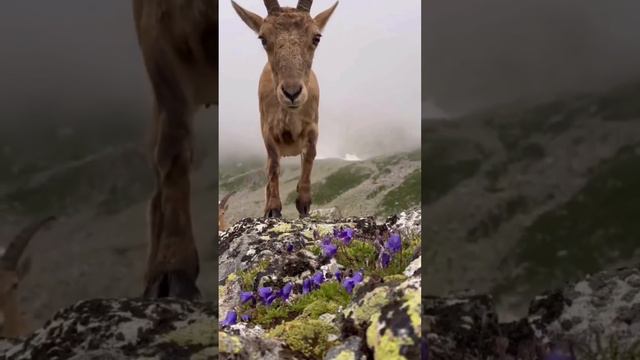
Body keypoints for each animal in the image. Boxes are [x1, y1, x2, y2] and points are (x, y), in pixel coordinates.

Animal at [232, 0, 338, 218]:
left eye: (316, 38)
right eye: (263, 39)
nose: (291, 92)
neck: (290, 118)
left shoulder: (313, 127)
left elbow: (310, 156)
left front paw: (303, 202)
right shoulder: (267, 131)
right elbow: (273, 165)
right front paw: (273, 208)